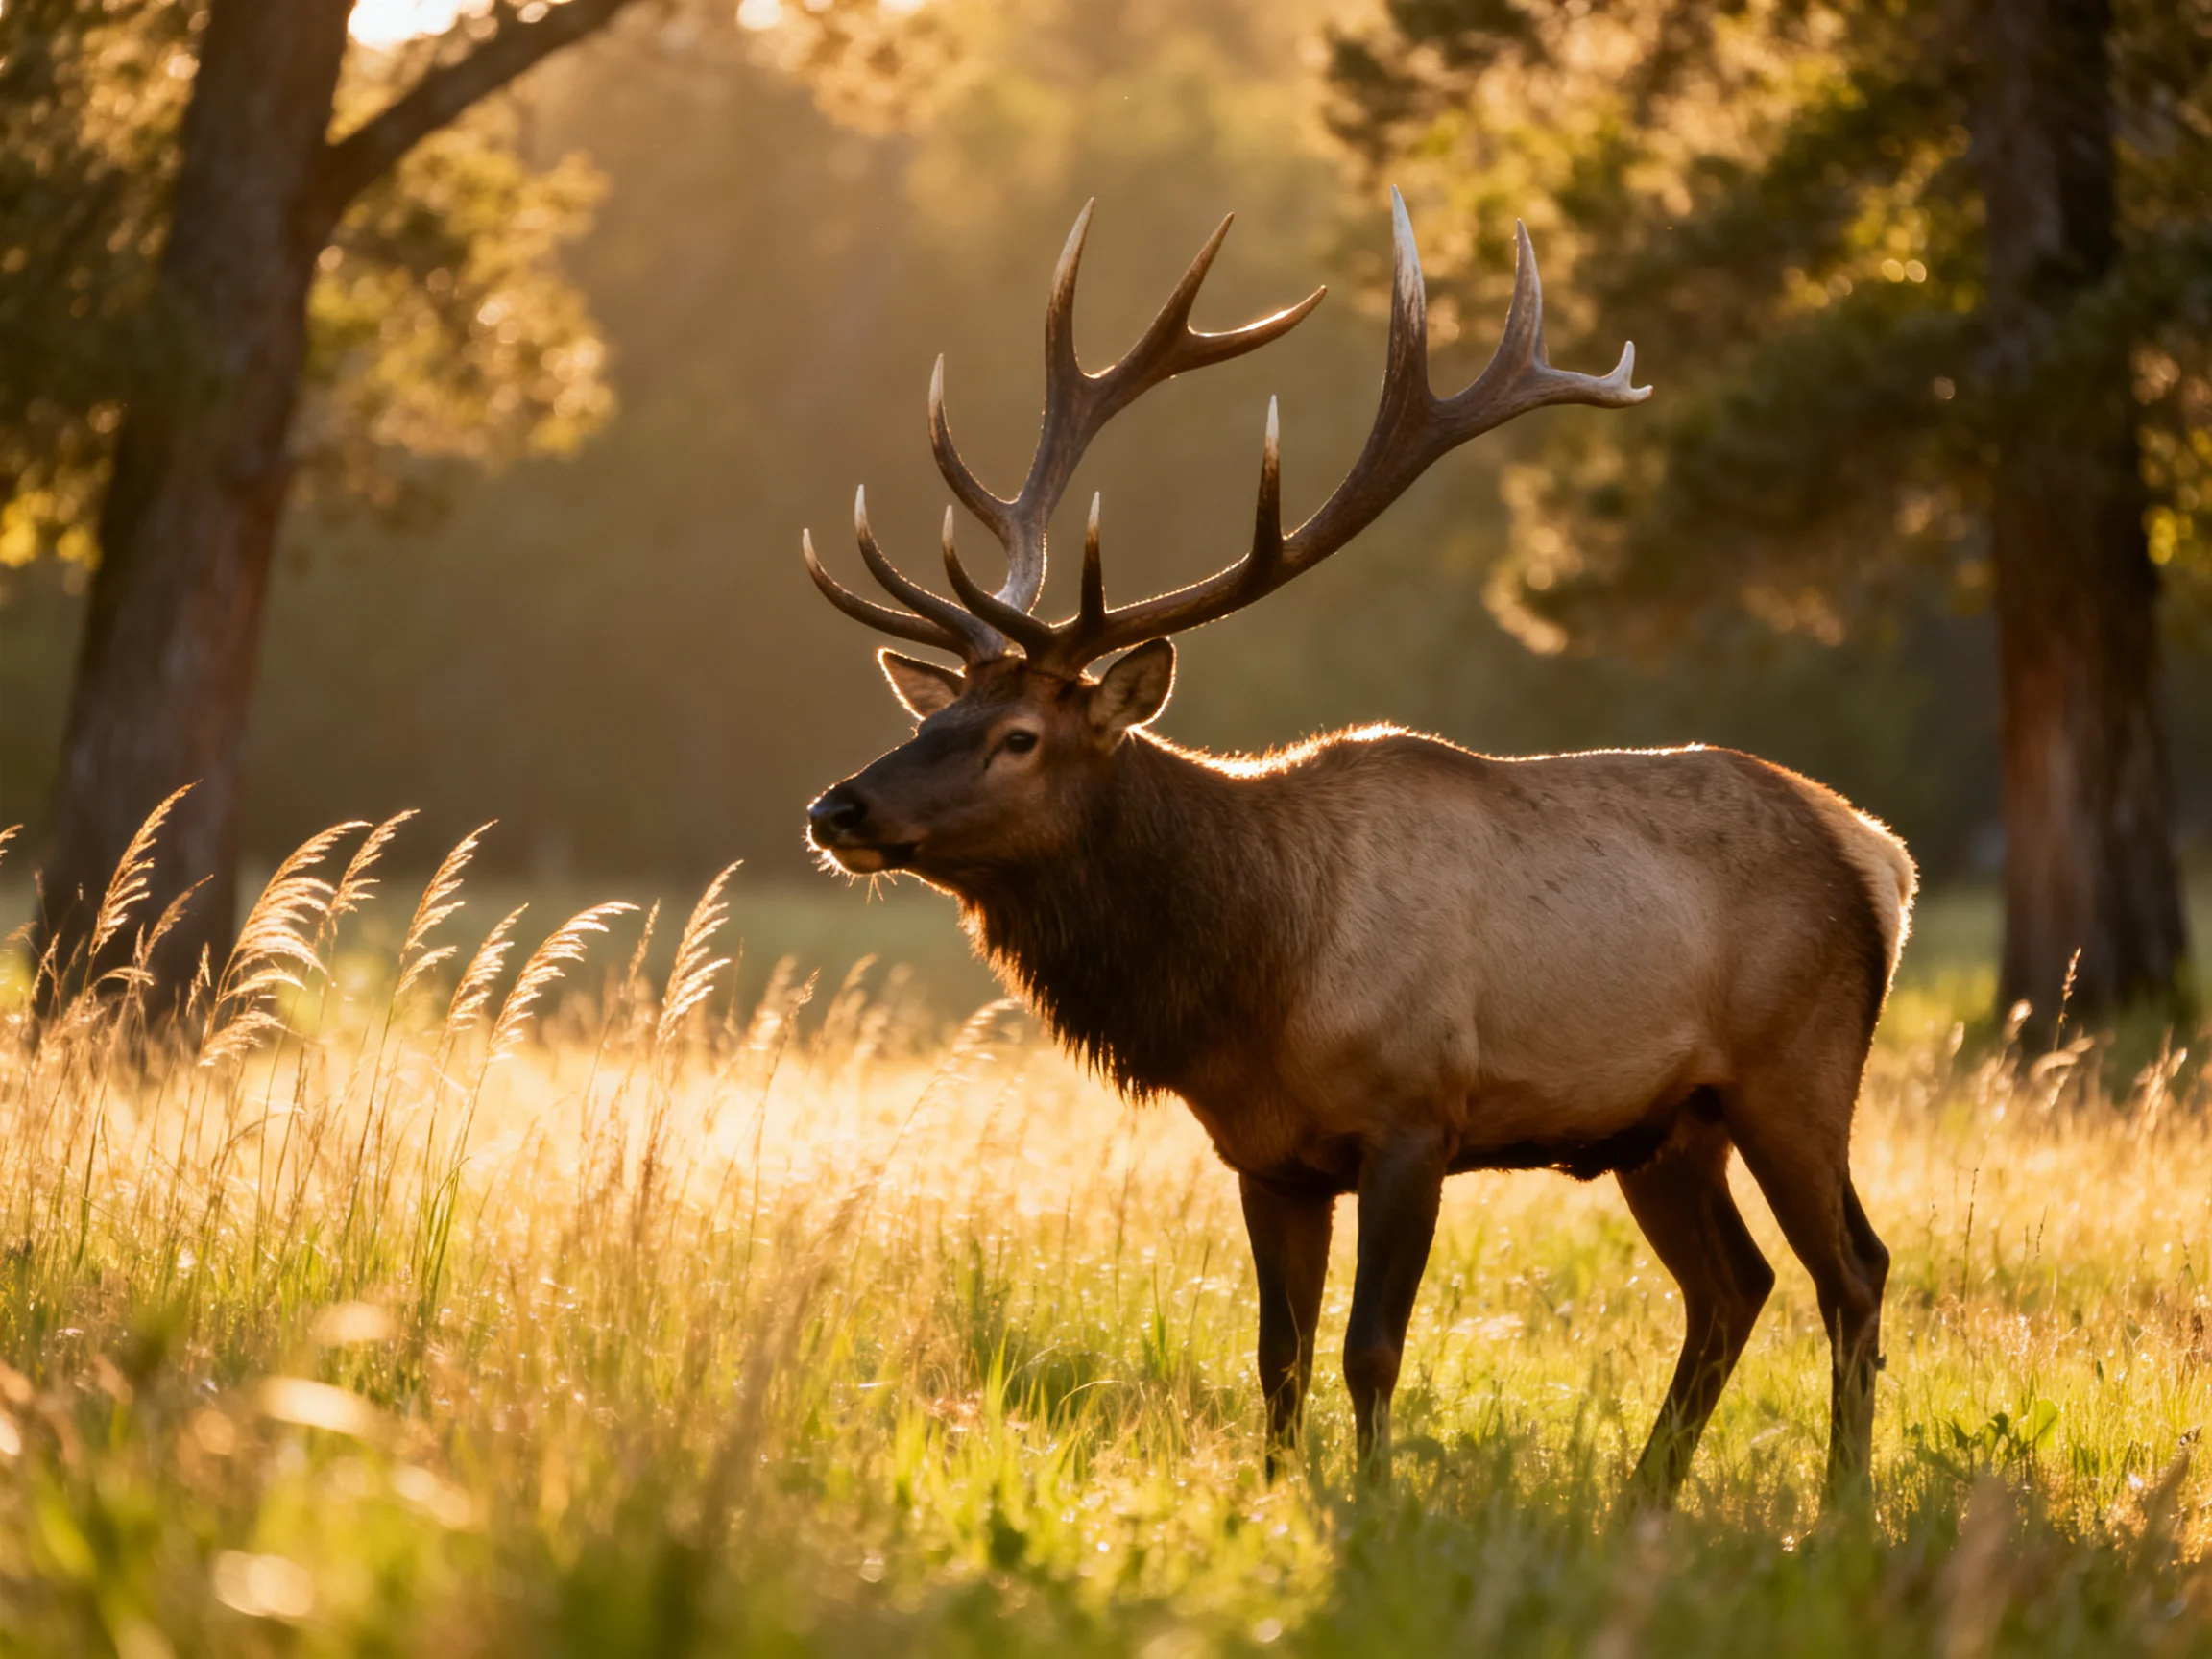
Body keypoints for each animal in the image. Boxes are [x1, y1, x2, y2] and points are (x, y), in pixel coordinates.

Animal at [800, 192, 1917, 1506]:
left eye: (1018, 736)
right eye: (932, 719)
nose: (838, 810)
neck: (1251, 974)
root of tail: (1874, 852)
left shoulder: (1415, 1115)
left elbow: (1369, 1348)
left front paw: (1377, 1506)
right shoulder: (1266, 1157)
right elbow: (1276, 1354)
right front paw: (1276, 1498)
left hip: (1797, 1068)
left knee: (1853, 1269)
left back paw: (1843, 1500)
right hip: (1666, 1122)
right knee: (1733, 1285)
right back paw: (1647, 1492)